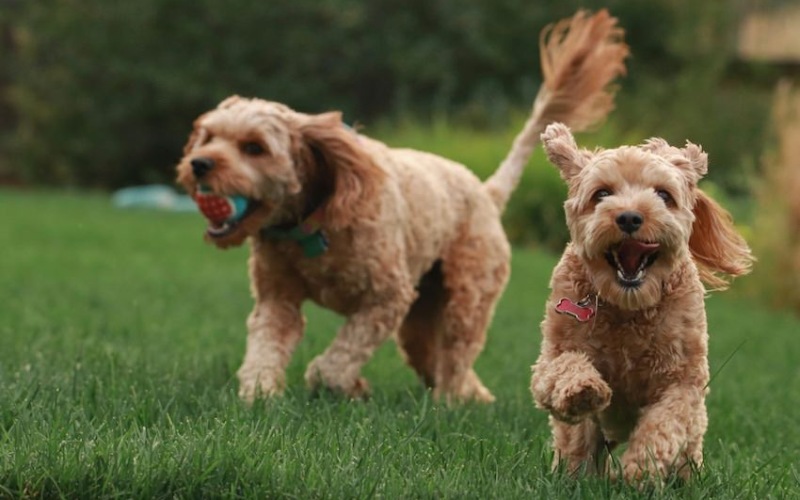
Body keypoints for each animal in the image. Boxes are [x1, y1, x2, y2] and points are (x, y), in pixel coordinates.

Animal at [178, 9, 628, 404]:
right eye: (208, 137)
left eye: (254, 148)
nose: (198, 164)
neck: (312, 225)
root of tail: (486, 192)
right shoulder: (278, 299)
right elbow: (266, 346)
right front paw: (259, 395)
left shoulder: (387, 296)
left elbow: (335, 361)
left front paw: (342, 384)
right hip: (421, 314)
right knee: (436, 356)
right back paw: (472, 397)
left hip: (467, 296)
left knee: (456, 353)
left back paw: (451, 402)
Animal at [528, 121, 752, 480]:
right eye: (601, 194)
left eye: (663, 195)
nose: (630, 217)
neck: (627, 307)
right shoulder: (552, 356)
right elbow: (564, 367)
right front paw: (583, 390)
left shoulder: (684, 381)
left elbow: (665, 422)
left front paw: (641, 469)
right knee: (577, 444)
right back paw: (574, 475)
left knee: (687, 448)